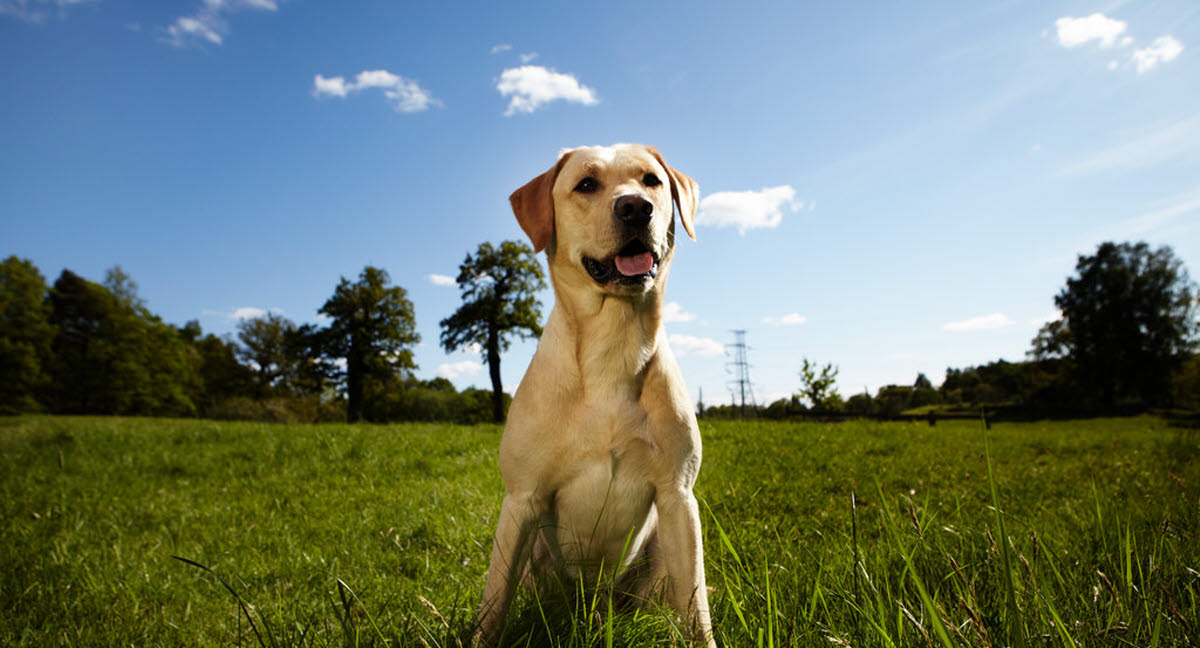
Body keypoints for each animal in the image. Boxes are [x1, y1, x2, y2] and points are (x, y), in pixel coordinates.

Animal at [477, 144, 715, 643]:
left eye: (651, 181)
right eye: (586, 184)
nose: (635, 208)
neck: (613, 346)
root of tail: (595, 603)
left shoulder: (678, 496)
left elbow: (697, 609)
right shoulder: (522, 499)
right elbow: (493, 605)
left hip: (660, 552)